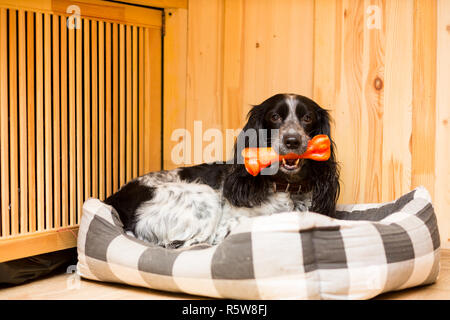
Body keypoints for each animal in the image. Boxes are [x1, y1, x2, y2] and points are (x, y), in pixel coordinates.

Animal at [104, 94, 338, 249]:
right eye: (274, 117)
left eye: (307, 118)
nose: (292, 140)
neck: (286, 189)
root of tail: (113, 200)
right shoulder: (228, 225)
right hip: (204, 197)